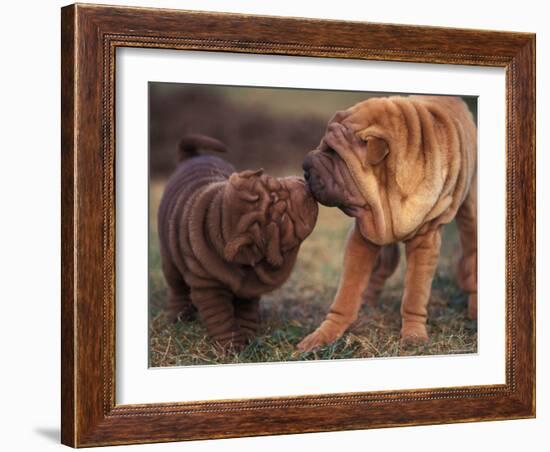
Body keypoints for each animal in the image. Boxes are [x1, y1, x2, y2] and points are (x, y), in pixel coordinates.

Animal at [157, 134, 320, 350]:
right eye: (283, 218)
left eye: (276, 183)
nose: (305, 186)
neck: (220, 222)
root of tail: (190, 158)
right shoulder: (208, 287)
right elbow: (221, 317)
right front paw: (231, 347)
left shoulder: (250, 288)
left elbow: (246, 312)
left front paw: (248, 336)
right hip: (170, 260)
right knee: (177, 287)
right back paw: (179, 318)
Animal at [300, 95, 476, 350]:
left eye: (334, 153)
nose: (304, 166)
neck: (386, 195)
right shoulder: (364, 234)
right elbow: (347, 291)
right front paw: (323, 335)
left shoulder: (425, 243)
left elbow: (414, 294)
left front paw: (413, 337)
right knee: (382, 266)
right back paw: (368, 300)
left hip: (470, 212)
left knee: (471, 255)